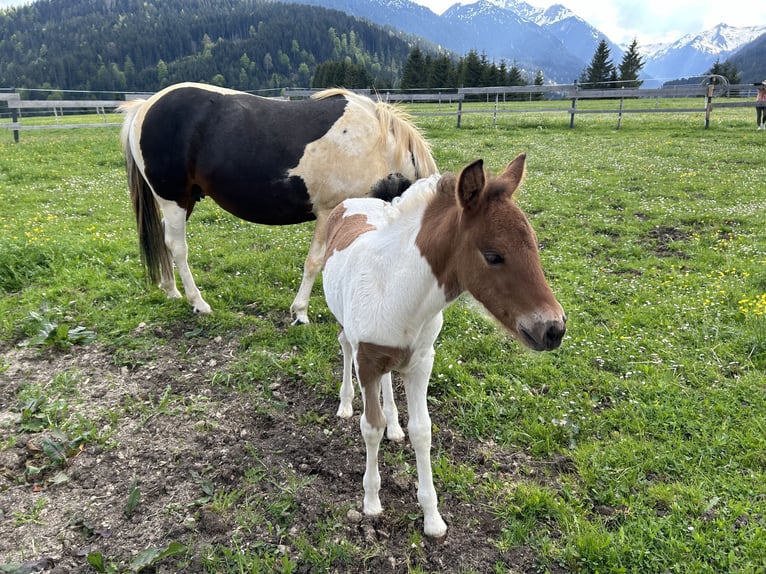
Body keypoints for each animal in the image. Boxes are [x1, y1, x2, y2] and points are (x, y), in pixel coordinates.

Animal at [117, 81, 436, 324]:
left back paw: (171, 290)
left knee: (164, 239)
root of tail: (145, 106)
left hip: (185, 200)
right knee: (177, 247)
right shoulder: (329, 213)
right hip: (174, 200)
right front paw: (300, 313)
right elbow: (315, 262)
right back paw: (198, 302)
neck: (376, 146)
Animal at [320, 154, 568, 540]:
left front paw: (432, 518)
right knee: (344, 346)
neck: (396, 288)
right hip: (347, 329)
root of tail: (356, 201)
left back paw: (395, 426)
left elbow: (423, 431)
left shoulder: (422, 361)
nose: (553, 329)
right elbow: (370, 426)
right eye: (493, 256)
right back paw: (346, 404)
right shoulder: (368, 361)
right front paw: (371, 502)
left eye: (535, 245)